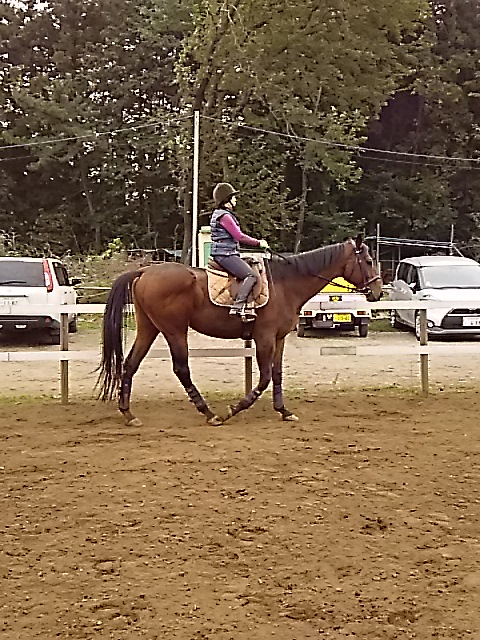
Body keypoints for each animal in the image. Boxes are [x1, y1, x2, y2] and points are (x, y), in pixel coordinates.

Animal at [97, 236, 383, 426]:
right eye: (368, 260)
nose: (377, 292)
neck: (285, 284)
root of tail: (145, 271)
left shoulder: (279, 338)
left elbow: (277, 374)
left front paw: (284, 411)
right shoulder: (264, 338)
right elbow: (264, 378)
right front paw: (235, 408)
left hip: (149, 328)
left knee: (130, 364)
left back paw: (128, 414)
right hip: (174, 330)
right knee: (181, 369)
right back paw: (210, 414)